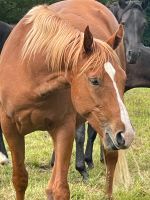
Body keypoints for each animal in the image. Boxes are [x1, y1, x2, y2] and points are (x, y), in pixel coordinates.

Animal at [0, 0, 135, 199]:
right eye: (94, 80)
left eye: (123, 79)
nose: (127, 134)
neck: (29, 70)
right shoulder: (10, 130)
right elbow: (20, 180)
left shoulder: (64, 129)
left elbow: (60, 189)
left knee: (111, 159)